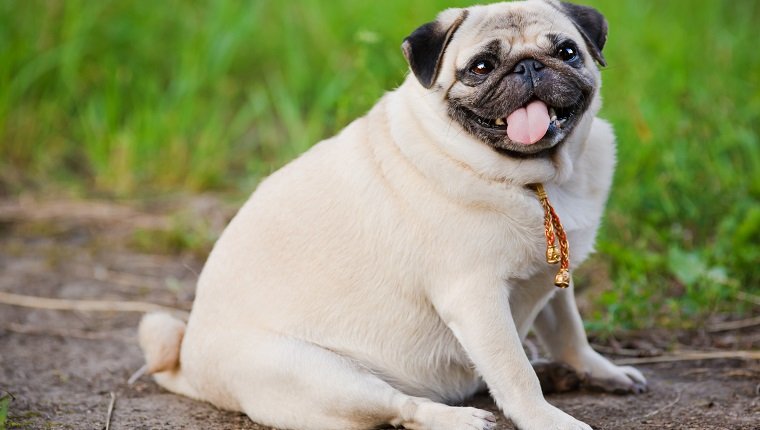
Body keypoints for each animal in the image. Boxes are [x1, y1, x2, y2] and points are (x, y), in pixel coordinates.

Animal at [140, 1, 644, 428]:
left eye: (566, 52)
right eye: (481, 67)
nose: (529, 65)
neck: (537, 181)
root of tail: (191, 369)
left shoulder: (551, 273)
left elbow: (569, 332)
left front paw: (598, 369)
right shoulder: (475, 297)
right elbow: (513, 372)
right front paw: (546, 418)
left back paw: (555, 371)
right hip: (323, 376)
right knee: (403, 407)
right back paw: (458, 418)